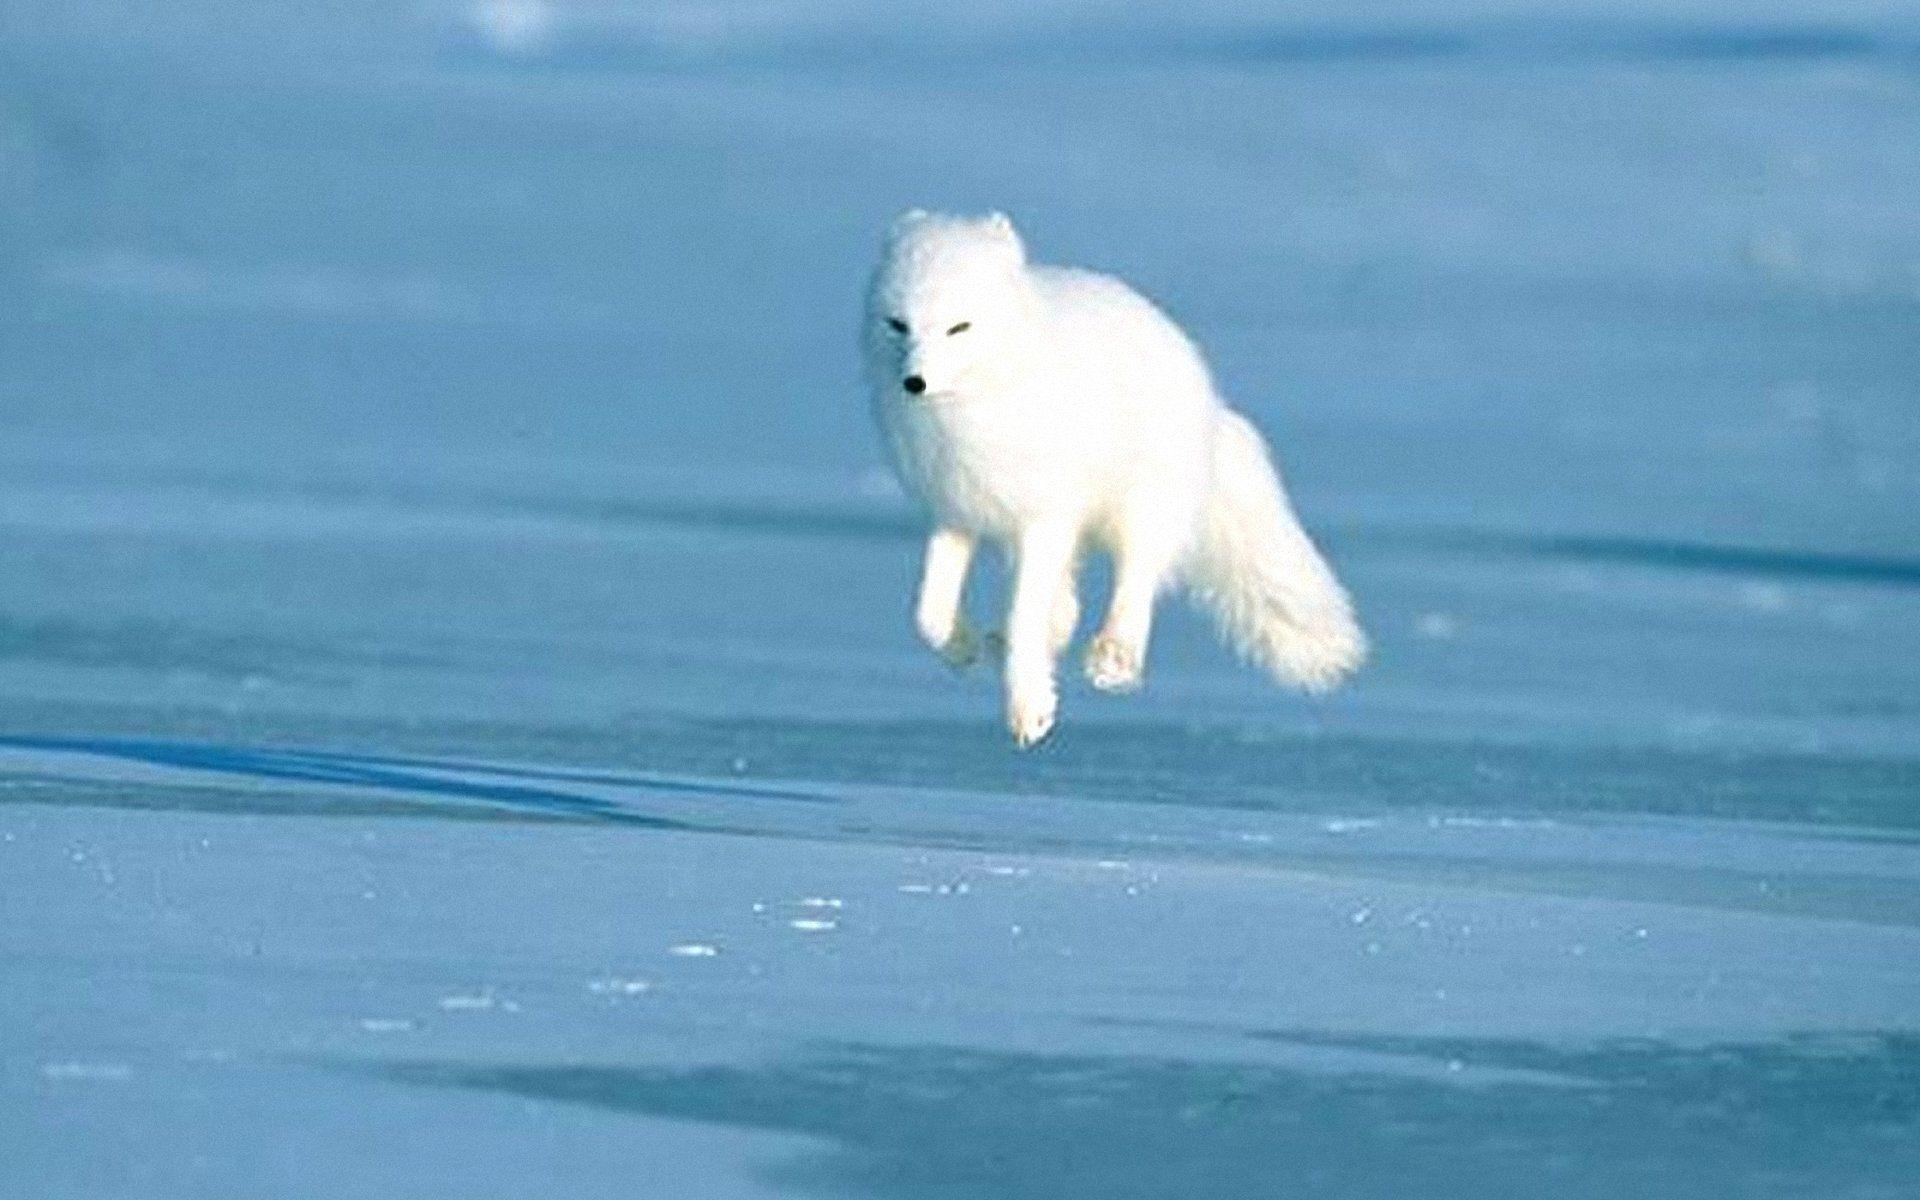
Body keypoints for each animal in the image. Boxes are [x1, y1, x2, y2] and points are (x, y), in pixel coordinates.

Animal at [862, 210, 1365, 748]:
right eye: (898, 324)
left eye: (959, 327)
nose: (914, 382)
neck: (976, 408)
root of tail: (1210, 399)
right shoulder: (955, 510)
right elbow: (927, 615)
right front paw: (964, 648)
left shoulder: (1045, 517)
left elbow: (1025, 616)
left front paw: (1029, 708)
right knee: (1067, 604)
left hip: (1141, 505)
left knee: (1138, 576)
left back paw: (1114, 658)